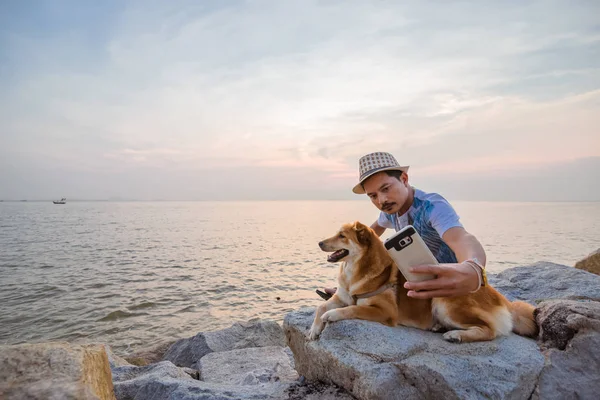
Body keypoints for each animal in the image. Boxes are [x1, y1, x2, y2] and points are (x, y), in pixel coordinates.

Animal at [308, 220, 536, 342]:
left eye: (342, 236)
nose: (318, 243)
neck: (353, 272)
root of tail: (499, 296)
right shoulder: (342, 296)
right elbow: (320, 307)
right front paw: (314, 329)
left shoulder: (385, 311)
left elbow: (352, 309)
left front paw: (332, 315)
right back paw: (439, 327)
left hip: (445, 302)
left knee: (490, 331)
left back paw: (456, 335)